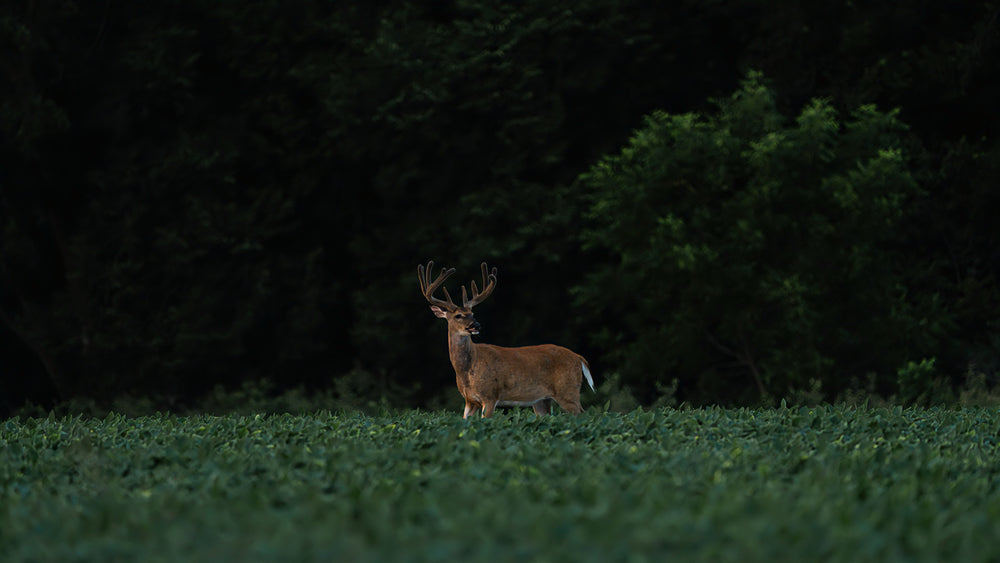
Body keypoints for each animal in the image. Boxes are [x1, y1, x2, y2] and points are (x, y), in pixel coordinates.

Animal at [417, 260, 595, 418]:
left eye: (473, 313)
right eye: (458, 316)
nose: (476, 325)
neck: (467, 369)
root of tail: (578, 358)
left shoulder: (490, 395)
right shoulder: (469, 401)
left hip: (568, 390)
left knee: (583, 414)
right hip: (541, 400)